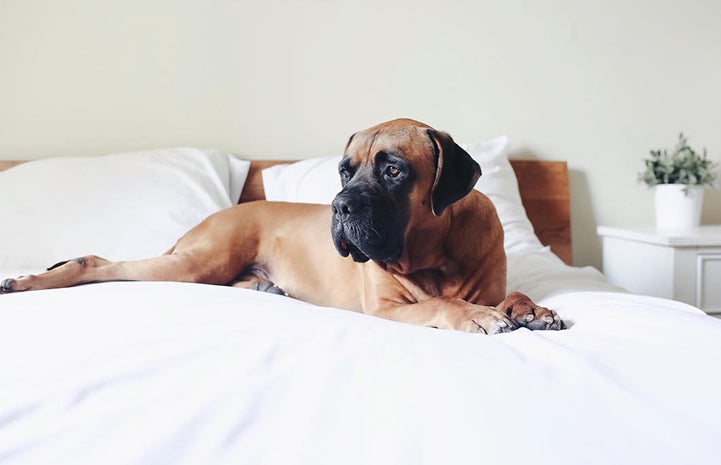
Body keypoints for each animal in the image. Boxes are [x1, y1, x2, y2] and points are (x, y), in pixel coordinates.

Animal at [1, 118, 564, 332]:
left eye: (394, 170)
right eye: (345, 170)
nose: (339, 205)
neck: (433, 251)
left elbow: (511, 294)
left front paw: (531, 308)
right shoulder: (386, 308)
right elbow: (444, 304)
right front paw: (476, 316)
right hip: (196, 262)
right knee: (97, 262)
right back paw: (27, 280)